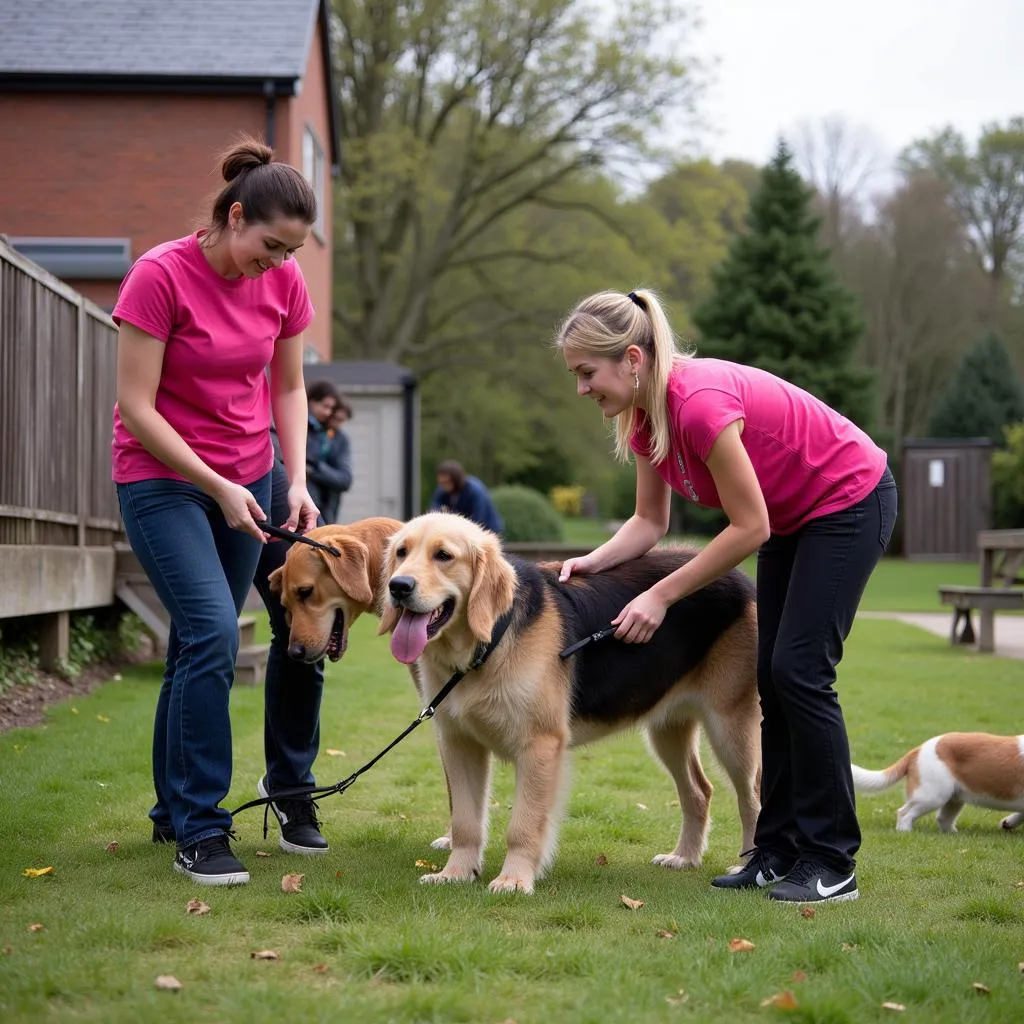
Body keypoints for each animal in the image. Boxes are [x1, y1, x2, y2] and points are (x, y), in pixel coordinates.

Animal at [376, 512, 761, 897]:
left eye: (443, 556)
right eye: (401, 552)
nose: (398, 587)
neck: (485, 646)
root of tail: (742, 580)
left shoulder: (540, 746)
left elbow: (523, 825)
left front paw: (514, 879)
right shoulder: (459, 743)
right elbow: (465, 822)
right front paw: (455, 873)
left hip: (731, 731)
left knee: (751, 798)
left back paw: (746, 866)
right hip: (667, 730)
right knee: (699, 790)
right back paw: (685, 857)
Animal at [851, 729, 1024, 831]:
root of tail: (918, 749)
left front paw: (1008, 823)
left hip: (952, 798)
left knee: (941, 819)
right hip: (933, 796)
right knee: (905, 814)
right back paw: (906, 832)